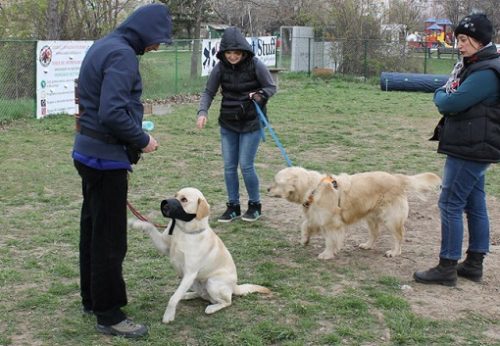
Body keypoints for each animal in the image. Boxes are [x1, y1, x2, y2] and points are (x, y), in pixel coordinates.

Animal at [129, 187, 270, 324]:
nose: (164, 204)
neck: (184, 231)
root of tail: (235, 287)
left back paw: (212, 308)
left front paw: (168, 316)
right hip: (194, 282)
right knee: (202, 295)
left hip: (211, 283)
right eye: (175, 195)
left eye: (184, 199)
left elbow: (173, 298)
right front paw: (136, 223)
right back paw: (187, 295)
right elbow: (150, 226)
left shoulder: (190, 273)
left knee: (226, 301)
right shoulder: (164, 247)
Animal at [302, 173, 440, 260]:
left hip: (391, 219)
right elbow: (307, 225)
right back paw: (367, 245)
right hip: (371, 217)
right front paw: (305, 239)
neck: (316, 189)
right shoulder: (317, 217)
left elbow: (330, 240)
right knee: (375, 233)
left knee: (399, 235)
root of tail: (397, 178)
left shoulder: (332, 223)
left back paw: (394, 252)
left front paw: (327, 254)